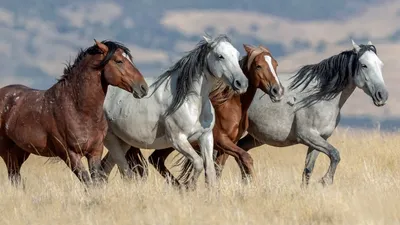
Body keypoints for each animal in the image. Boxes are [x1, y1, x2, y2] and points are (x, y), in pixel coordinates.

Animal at [0, 39, 148, 186]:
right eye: (119, 61)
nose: (143, 87)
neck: (78, 110)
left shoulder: (95, 152)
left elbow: (96, 182)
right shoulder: (70, 154)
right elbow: (87, 181)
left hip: (21, 151)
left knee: (15, 176)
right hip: (7, 151)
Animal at [100, 34, 248, 187]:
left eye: (237, 55)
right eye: (220, 56)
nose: (241, 83)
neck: (191, 102)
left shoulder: (206, 137)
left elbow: (210, 171)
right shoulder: (178, 140)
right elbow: (198, 163)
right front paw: (189, 187)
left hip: (123, 142)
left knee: (104, 168)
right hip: (111, 140)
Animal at [125, 43, 284, 185]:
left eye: (275, 64)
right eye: (258, 66)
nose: (277, 91)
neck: (230, 106)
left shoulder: (226, 146)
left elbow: (217, 170)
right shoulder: (222, 141)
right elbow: (245, 157)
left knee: (155, 160)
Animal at [212, 39, 388, 186]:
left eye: (380, 64)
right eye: (364, 65)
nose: (382, 95)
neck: (320, 97)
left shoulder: (319, 140)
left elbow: (308, 170)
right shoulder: (308, 136)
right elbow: (335, 154)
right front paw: (326, 180)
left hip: (255, 137)